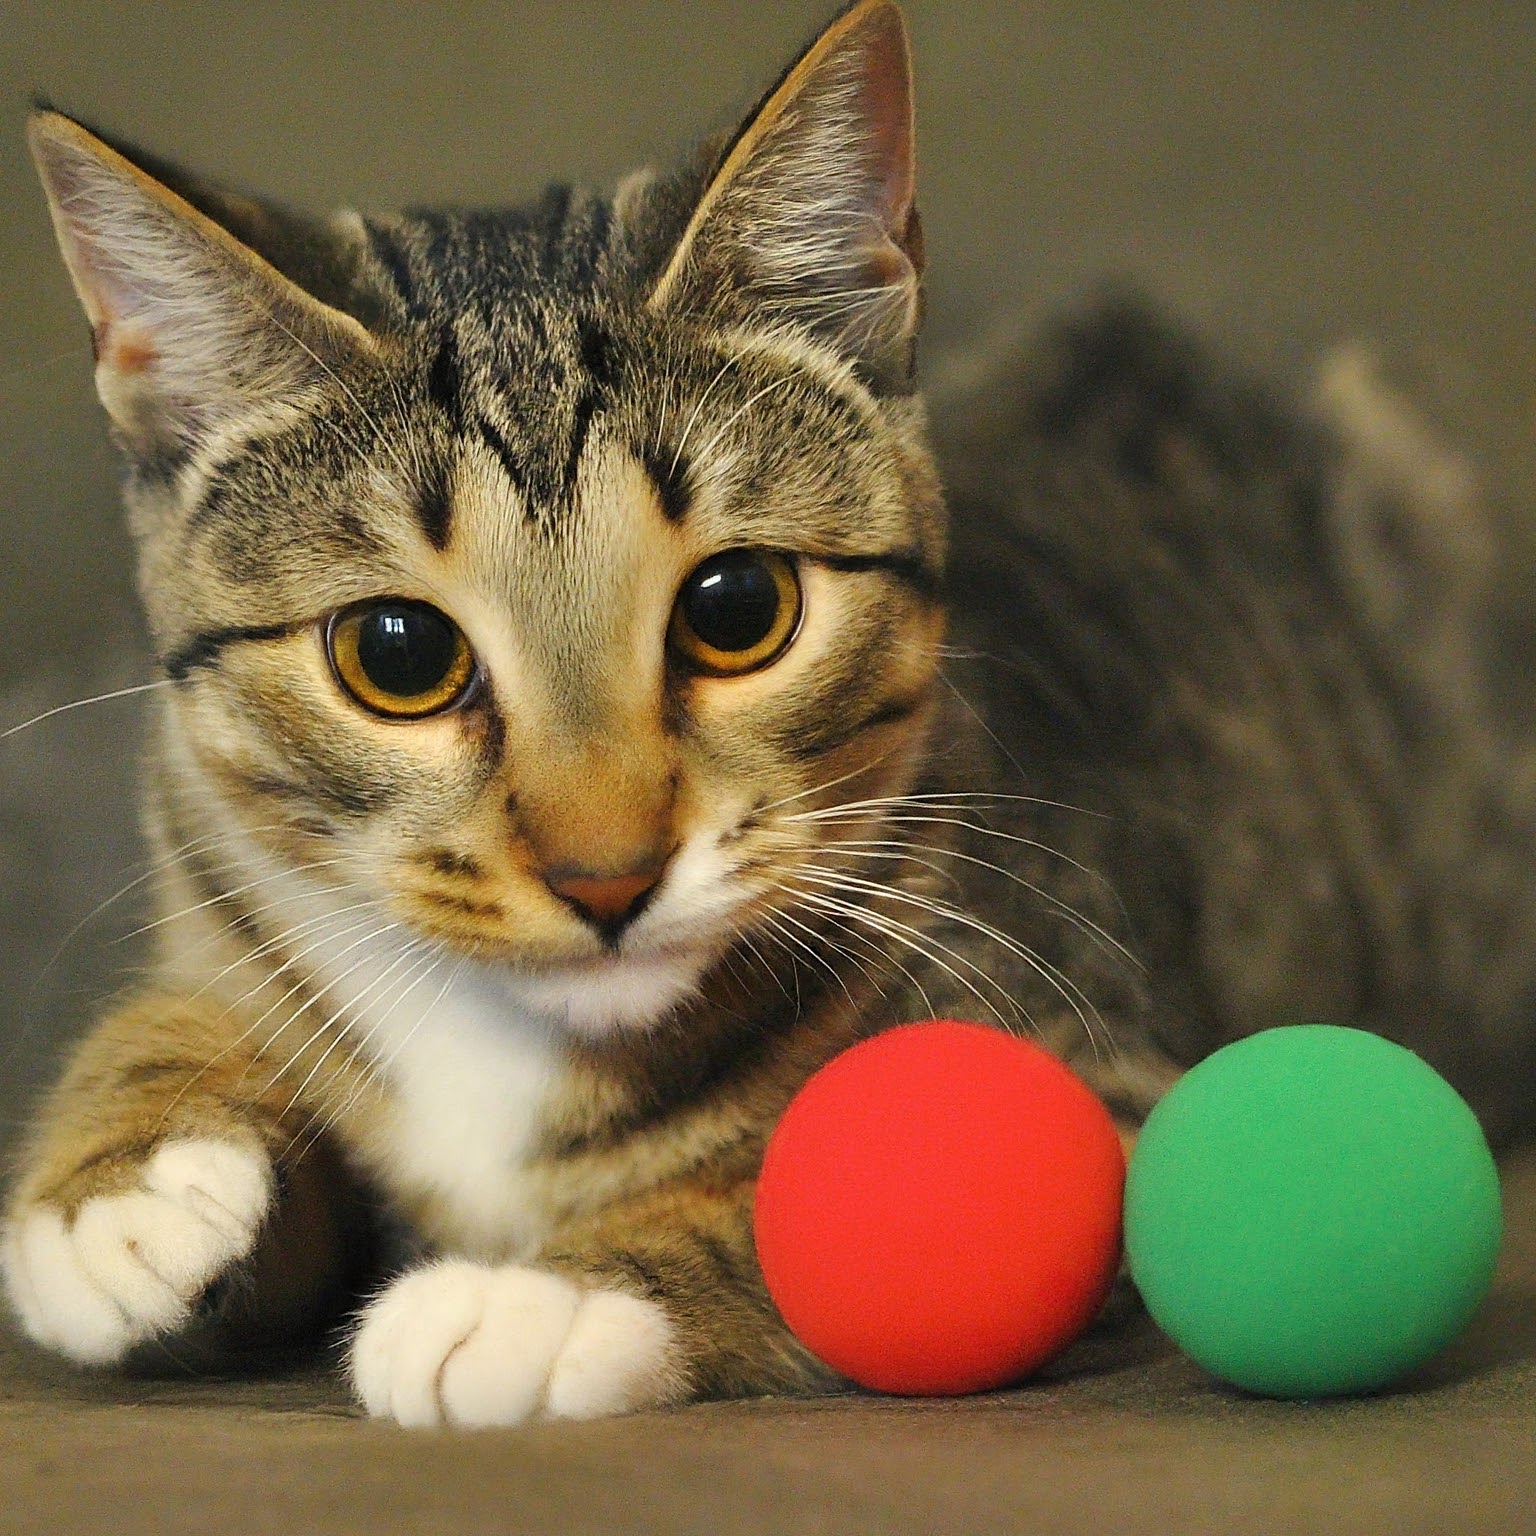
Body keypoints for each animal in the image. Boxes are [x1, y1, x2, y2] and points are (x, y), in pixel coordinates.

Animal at [5, 0, 1535, 1427]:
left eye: (737, 608)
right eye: (397, 652)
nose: (606, 875)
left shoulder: (1108, 1065)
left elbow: (827, 1203)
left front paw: (544, 1298)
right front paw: (119, 1184)